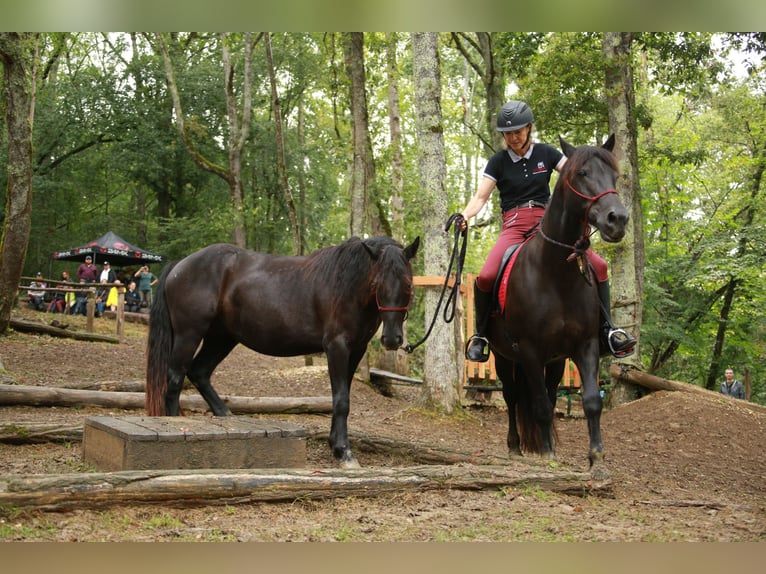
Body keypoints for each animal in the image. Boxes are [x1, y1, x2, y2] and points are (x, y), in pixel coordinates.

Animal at [144, 236, 420, 470]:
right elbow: (341, 400)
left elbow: (342, 397)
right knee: (175, 378)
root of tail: (180, 265)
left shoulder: (356, 351)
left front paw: (336, 446)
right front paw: (344, 452)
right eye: (377, 283)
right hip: (189, 334)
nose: (392, 339)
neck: (348, 286)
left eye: (408, 284)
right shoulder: (337, 347)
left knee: (199, 372)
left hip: (222, 338)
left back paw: (227, 417)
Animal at [492, 136, 632, 482]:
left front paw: (596, 457)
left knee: (552, 393)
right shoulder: (529, 350)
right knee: (513, 397)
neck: (556, 273)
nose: (617, 220)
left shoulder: (586, 345)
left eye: (615, 175)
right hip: (504, 357)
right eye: (582, 173)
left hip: (555, 362)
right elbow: (539, 405)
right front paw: (547, 455)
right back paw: (515, 447)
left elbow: (591, 401)